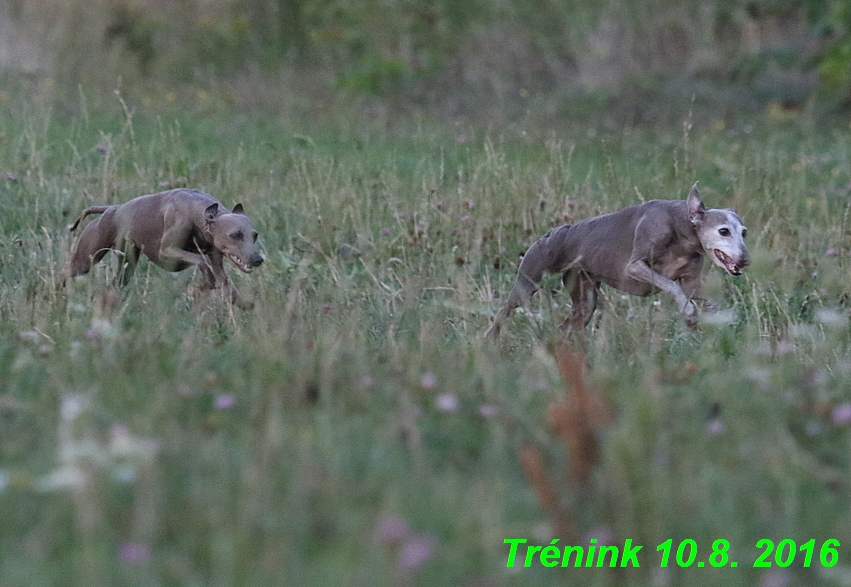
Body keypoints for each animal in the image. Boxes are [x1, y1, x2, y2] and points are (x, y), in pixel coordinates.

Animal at [67, 188, 262, 308]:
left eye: (255, 235)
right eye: (235, 235)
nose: (258, 259)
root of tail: (112, 209)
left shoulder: (216, 260)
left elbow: (226, 284)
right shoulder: (166, 252)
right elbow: (201, 260)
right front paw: (206, 281)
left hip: (126, 266)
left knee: (114, 284)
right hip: (86, 258)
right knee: (66, 272)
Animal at [486, 184, 752, 340]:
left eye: (744, 232)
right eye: (724, 231)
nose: (745, 260)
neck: (682, 226)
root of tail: (549, 233)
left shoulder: (690, 282)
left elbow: (703, 295)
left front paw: (709, 319)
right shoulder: (635, 267)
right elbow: (672, 286)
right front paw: (689, 314)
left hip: (584, 302)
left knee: (565, 328)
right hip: (528, 282)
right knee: (503, 312)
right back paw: (489, 339)